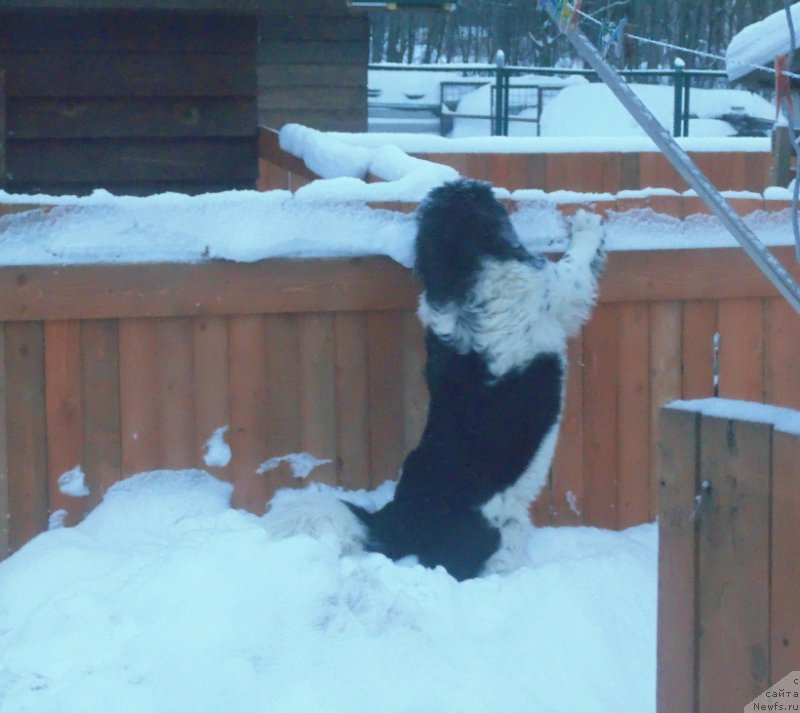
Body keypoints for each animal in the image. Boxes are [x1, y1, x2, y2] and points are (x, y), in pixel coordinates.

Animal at [266, 177, 604, 580]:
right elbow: (576, 264)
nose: (467, 181)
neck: (463, 275)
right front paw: (587, 226)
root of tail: (399, 518)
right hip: (504, 531)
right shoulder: (558, 292)